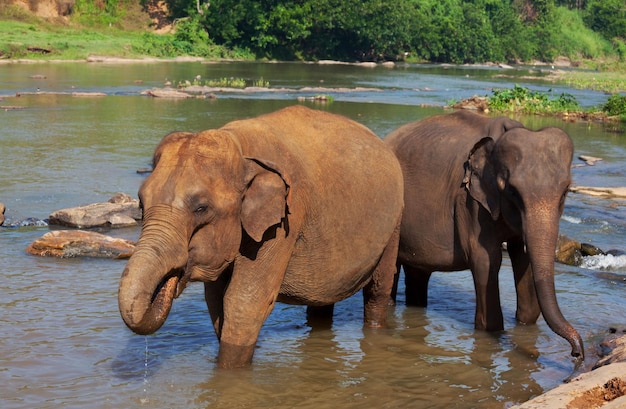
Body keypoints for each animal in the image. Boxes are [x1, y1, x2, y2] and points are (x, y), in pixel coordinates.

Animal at [117, 105, 402, 366]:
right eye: (141, 202)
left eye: (201, 208)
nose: (172, 278)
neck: (241, 149)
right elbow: (216, 299)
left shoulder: (285, 220)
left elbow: (245, 301)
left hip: (395, 220)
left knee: (378, 289)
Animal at [382, 110, 584, 358]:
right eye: (512, 191)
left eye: (565, 191)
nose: (576, 354)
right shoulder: (469, 201)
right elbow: (487, 261)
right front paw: (492, 335)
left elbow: (521, 257)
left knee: (418, 273)